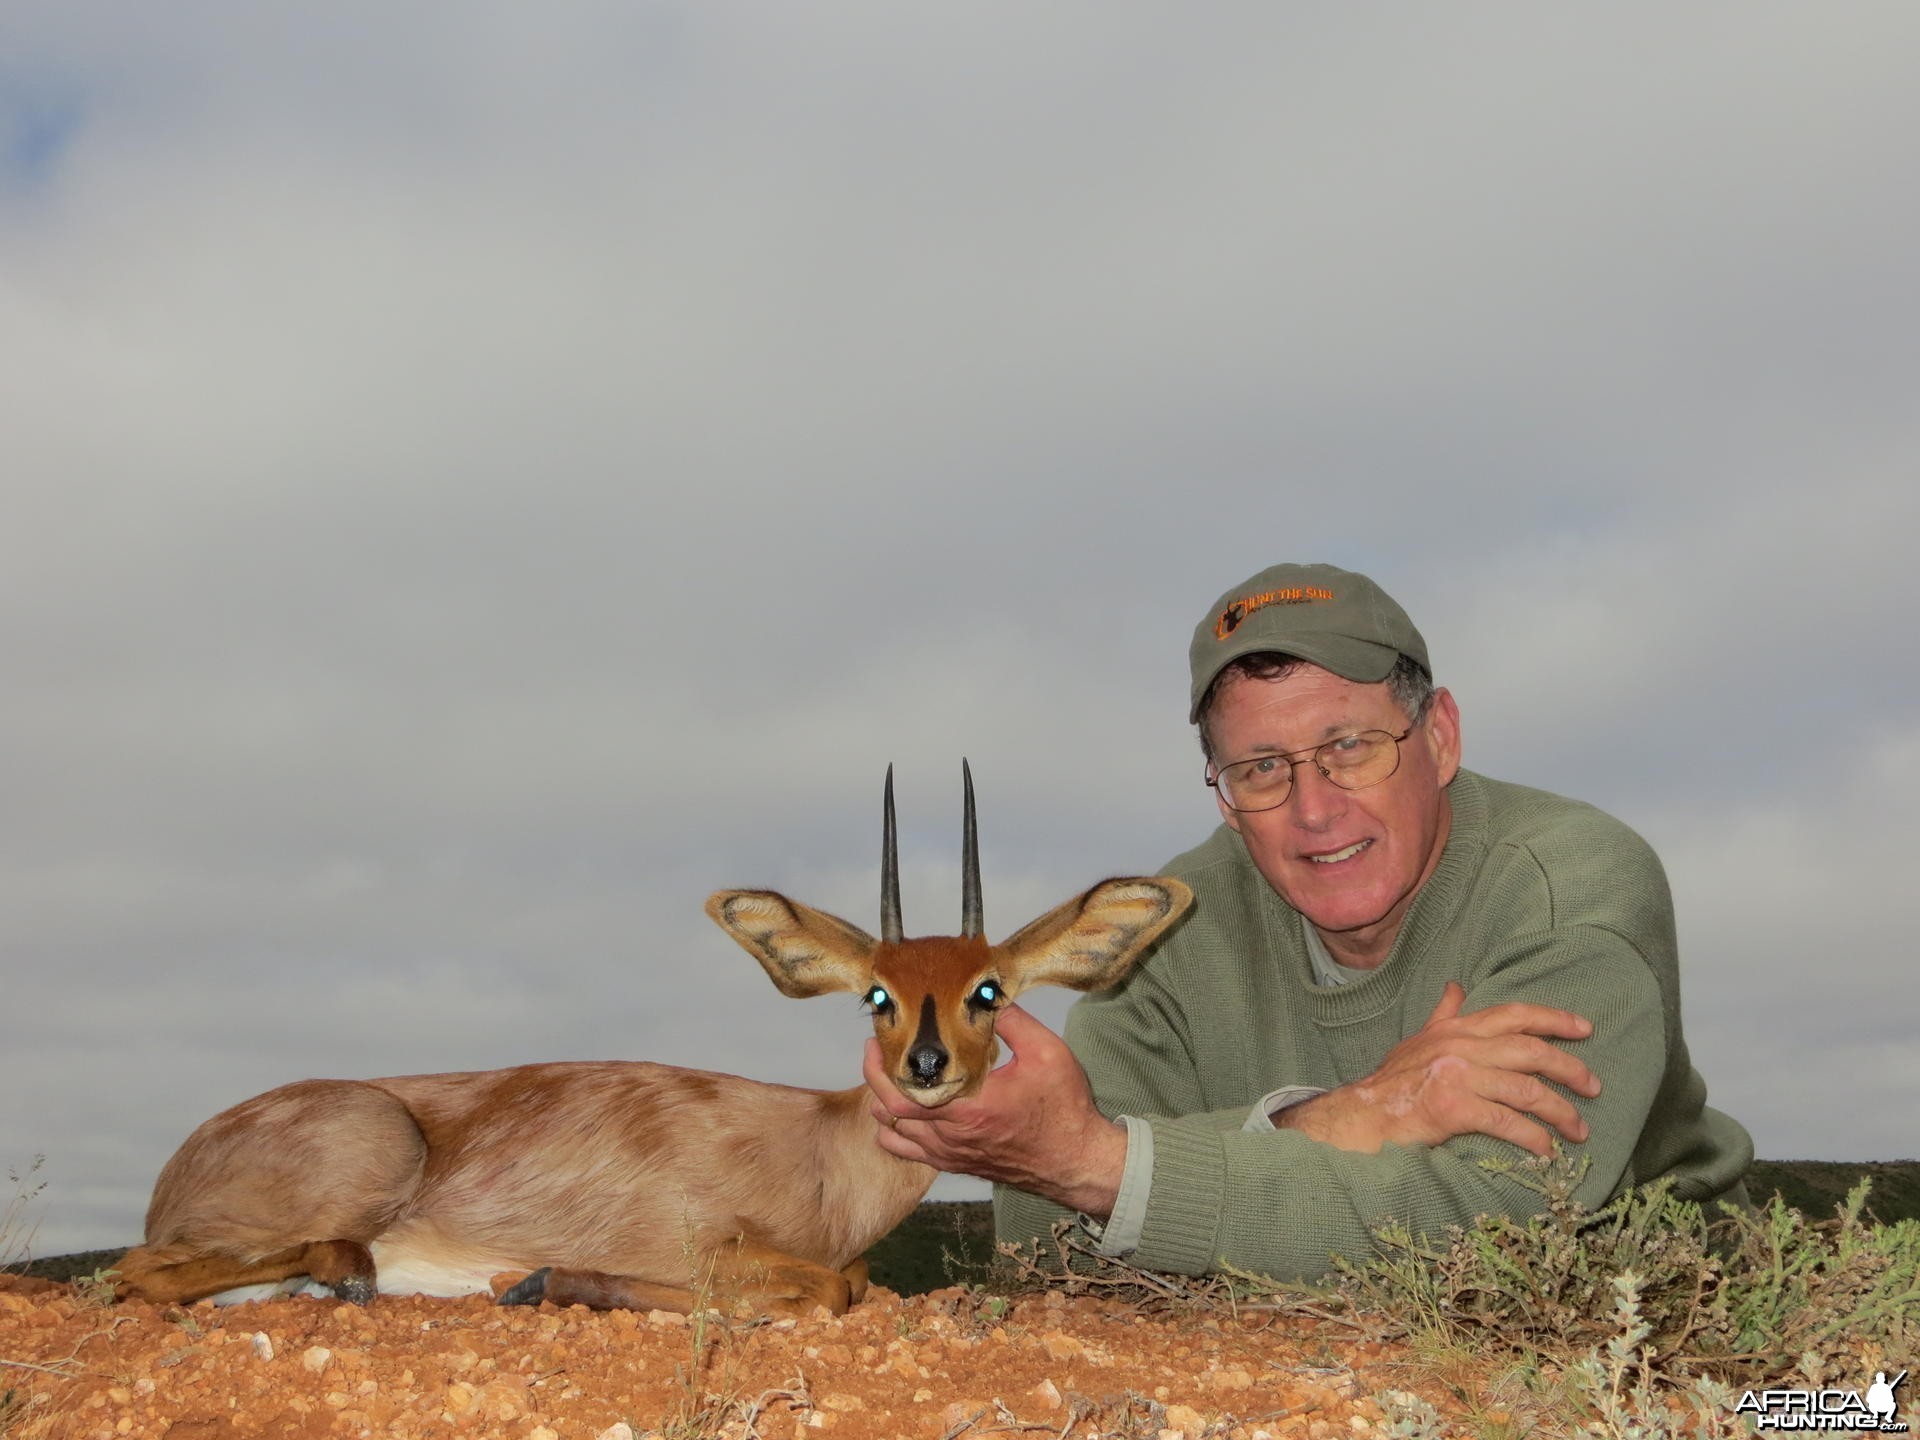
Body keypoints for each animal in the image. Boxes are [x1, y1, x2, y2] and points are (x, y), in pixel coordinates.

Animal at [112, 768, 1190, 1320]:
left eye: (988, 991)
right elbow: (823, 1287)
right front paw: (549, 1278)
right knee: (143, 1272)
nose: (927, 1067)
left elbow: (851, 1280)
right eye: (877, 994)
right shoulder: (715, 1242)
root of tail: (179, 1166)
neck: (819, 1152)